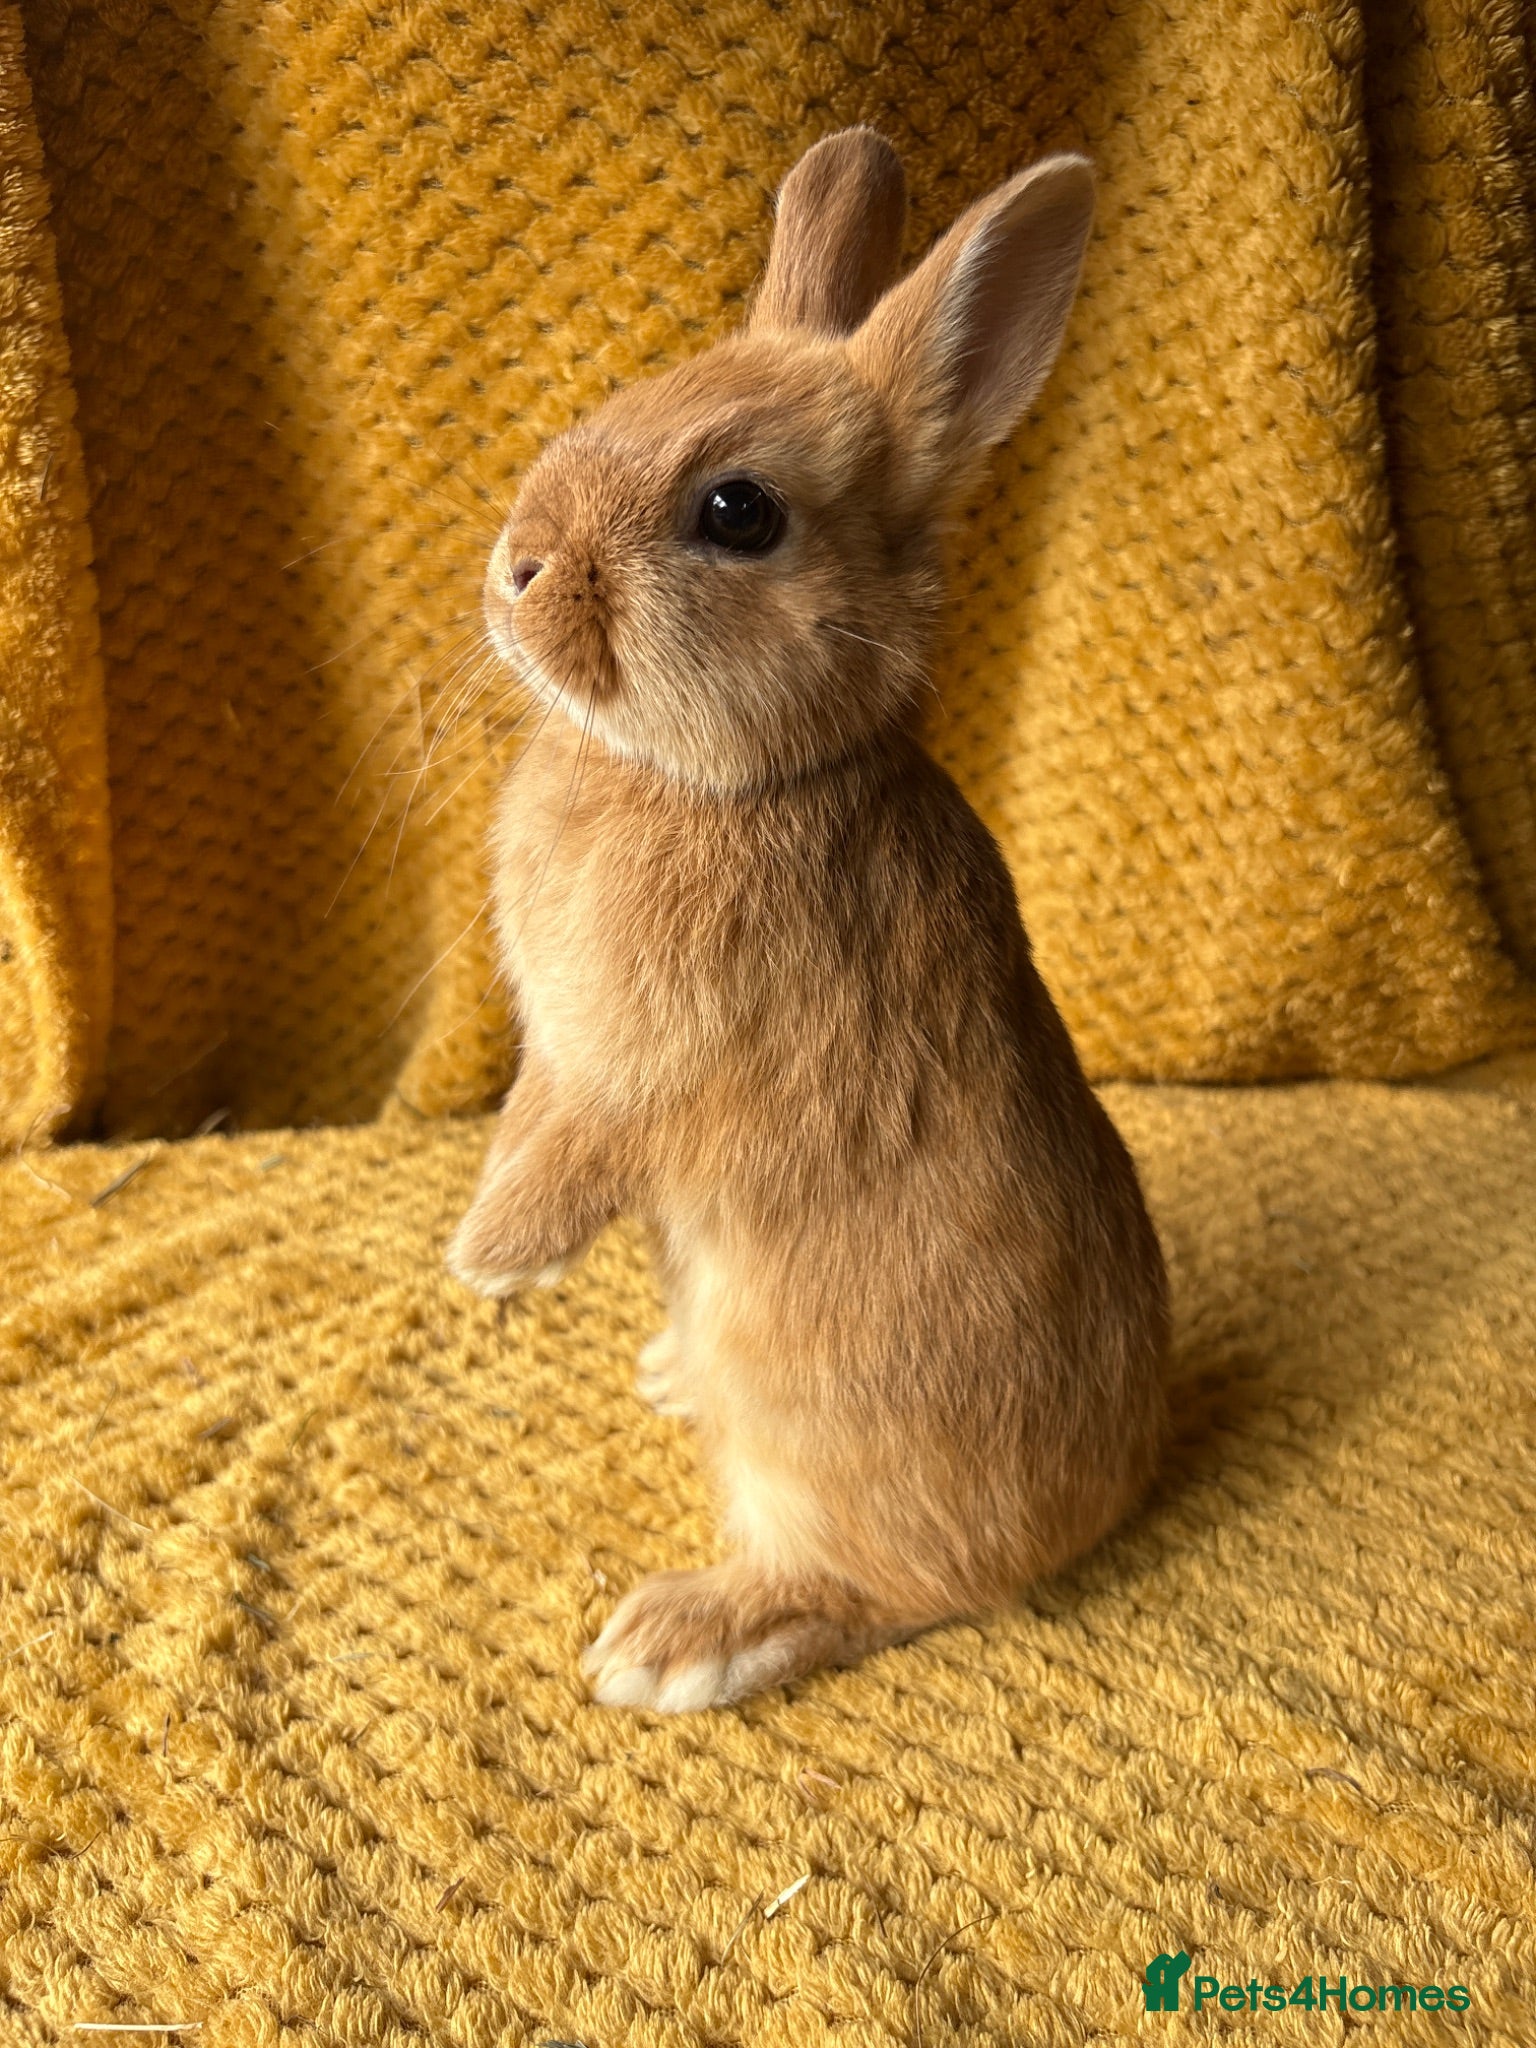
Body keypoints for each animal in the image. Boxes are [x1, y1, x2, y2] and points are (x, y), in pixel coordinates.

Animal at [448, 126, 1169, 1712]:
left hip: (822, 1435)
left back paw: (681, 1640)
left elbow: (575, 1147)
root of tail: (1107, 1495)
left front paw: (490, 1258)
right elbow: (530, 1115)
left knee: (889, 1584)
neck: (721, 779)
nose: (515, 565)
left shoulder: (637, 1054)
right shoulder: (560, 1049)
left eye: (738, 512)